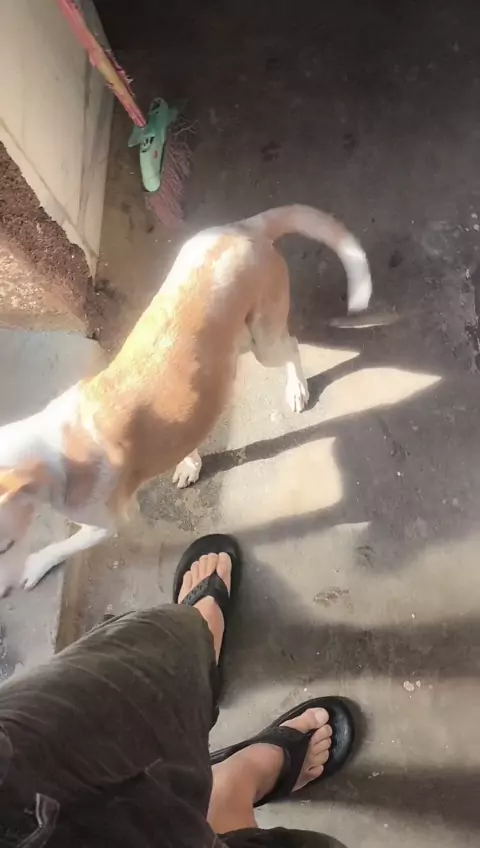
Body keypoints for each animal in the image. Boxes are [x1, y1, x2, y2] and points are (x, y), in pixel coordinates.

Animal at [0, 205, 372, 594]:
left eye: (5, 546)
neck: (49, 448)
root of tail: (244, 229)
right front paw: (189, 464)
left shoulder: (107, 522)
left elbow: (63, 545)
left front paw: (37, 564)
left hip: (265, 342)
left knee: (293, 347)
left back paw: (297, 388)